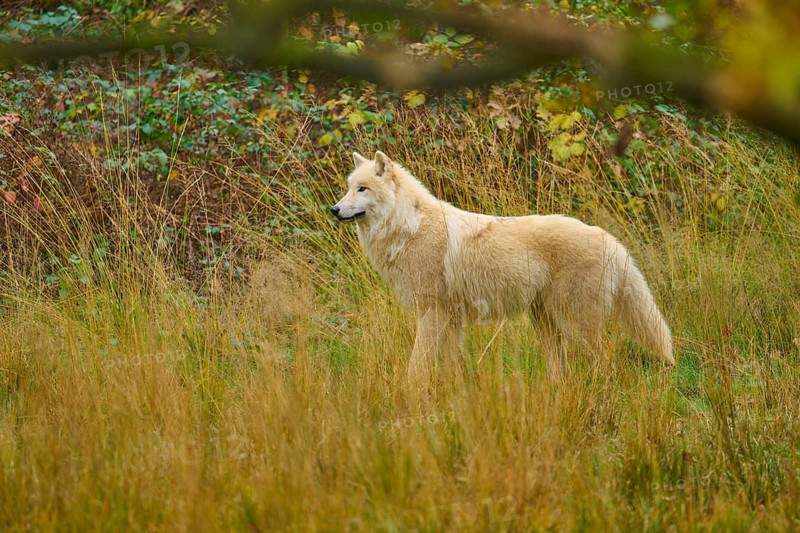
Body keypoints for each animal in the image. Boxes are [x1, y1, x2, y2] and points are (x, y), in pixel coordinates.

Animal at [331, 151, 674, 383]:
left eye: (362, 189)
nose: (333, 209)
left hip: (575, 323)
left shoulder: (431, 313)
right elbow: (454, 366)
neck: (409, 228)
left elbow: (416, 367)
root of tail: (611, 239)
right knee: (561, 366)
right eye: (349, 187)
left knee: (606, 363)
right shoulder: (451, 320)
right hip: (546, 322)